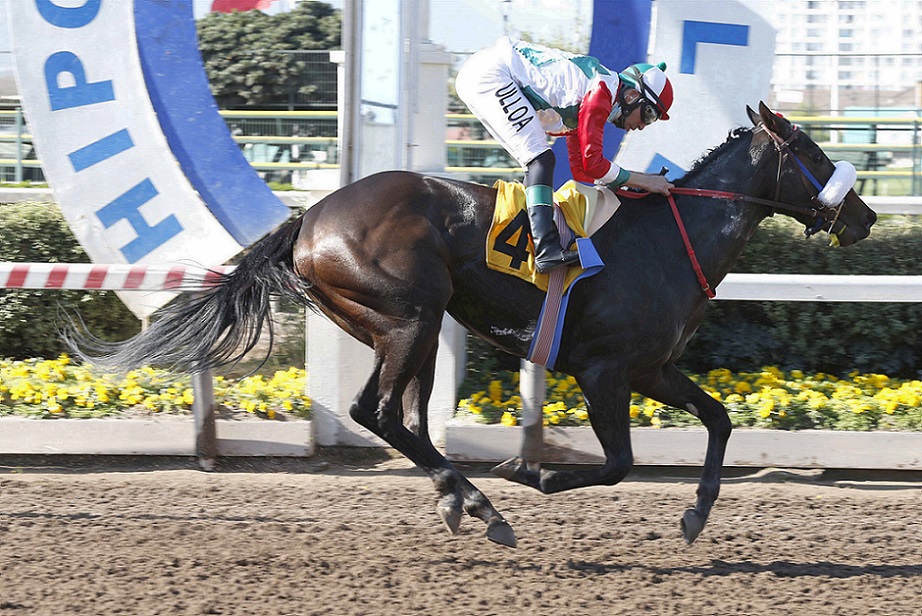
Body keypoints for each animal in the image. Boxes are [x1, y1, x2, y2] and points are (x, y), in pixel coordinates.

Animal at [65, 102, 876, 548]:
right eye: (811, 151)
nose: (865, 217)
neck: (669, 240)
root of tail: (310, 218)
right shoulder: (605, 371)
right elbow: (618, 463)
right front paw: (529, 470)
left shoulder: (653, 368)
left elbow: (719, 419)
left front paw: (697, 514)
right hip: (410, 316)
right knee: (377, 411)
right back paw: (482, 501)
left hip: (401, 326)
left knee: (403, 418)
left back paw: (463, 500)